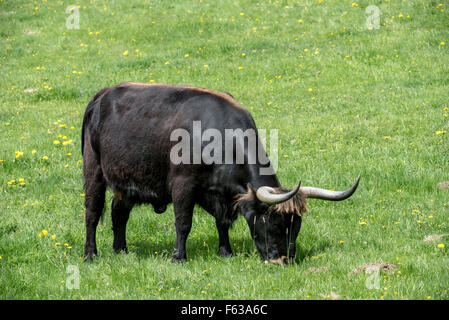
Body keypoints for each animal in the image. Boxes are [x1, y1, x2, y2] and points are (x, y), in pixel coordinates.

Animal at [81, 82, 360, 262]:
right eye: (273, 221)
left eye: (296, 225)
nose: (282, 260)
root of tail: (101, 95)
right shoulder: (183, 185)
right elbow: (183, 222)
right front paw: (178, 258)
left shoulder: (222, 193)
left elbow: (222, 222)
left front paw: (226, 252)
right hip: (94, 171)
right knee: (92, 214)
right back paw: (90, 254)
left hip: (126, 183)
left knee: (119, 213)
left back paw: (121, 250)